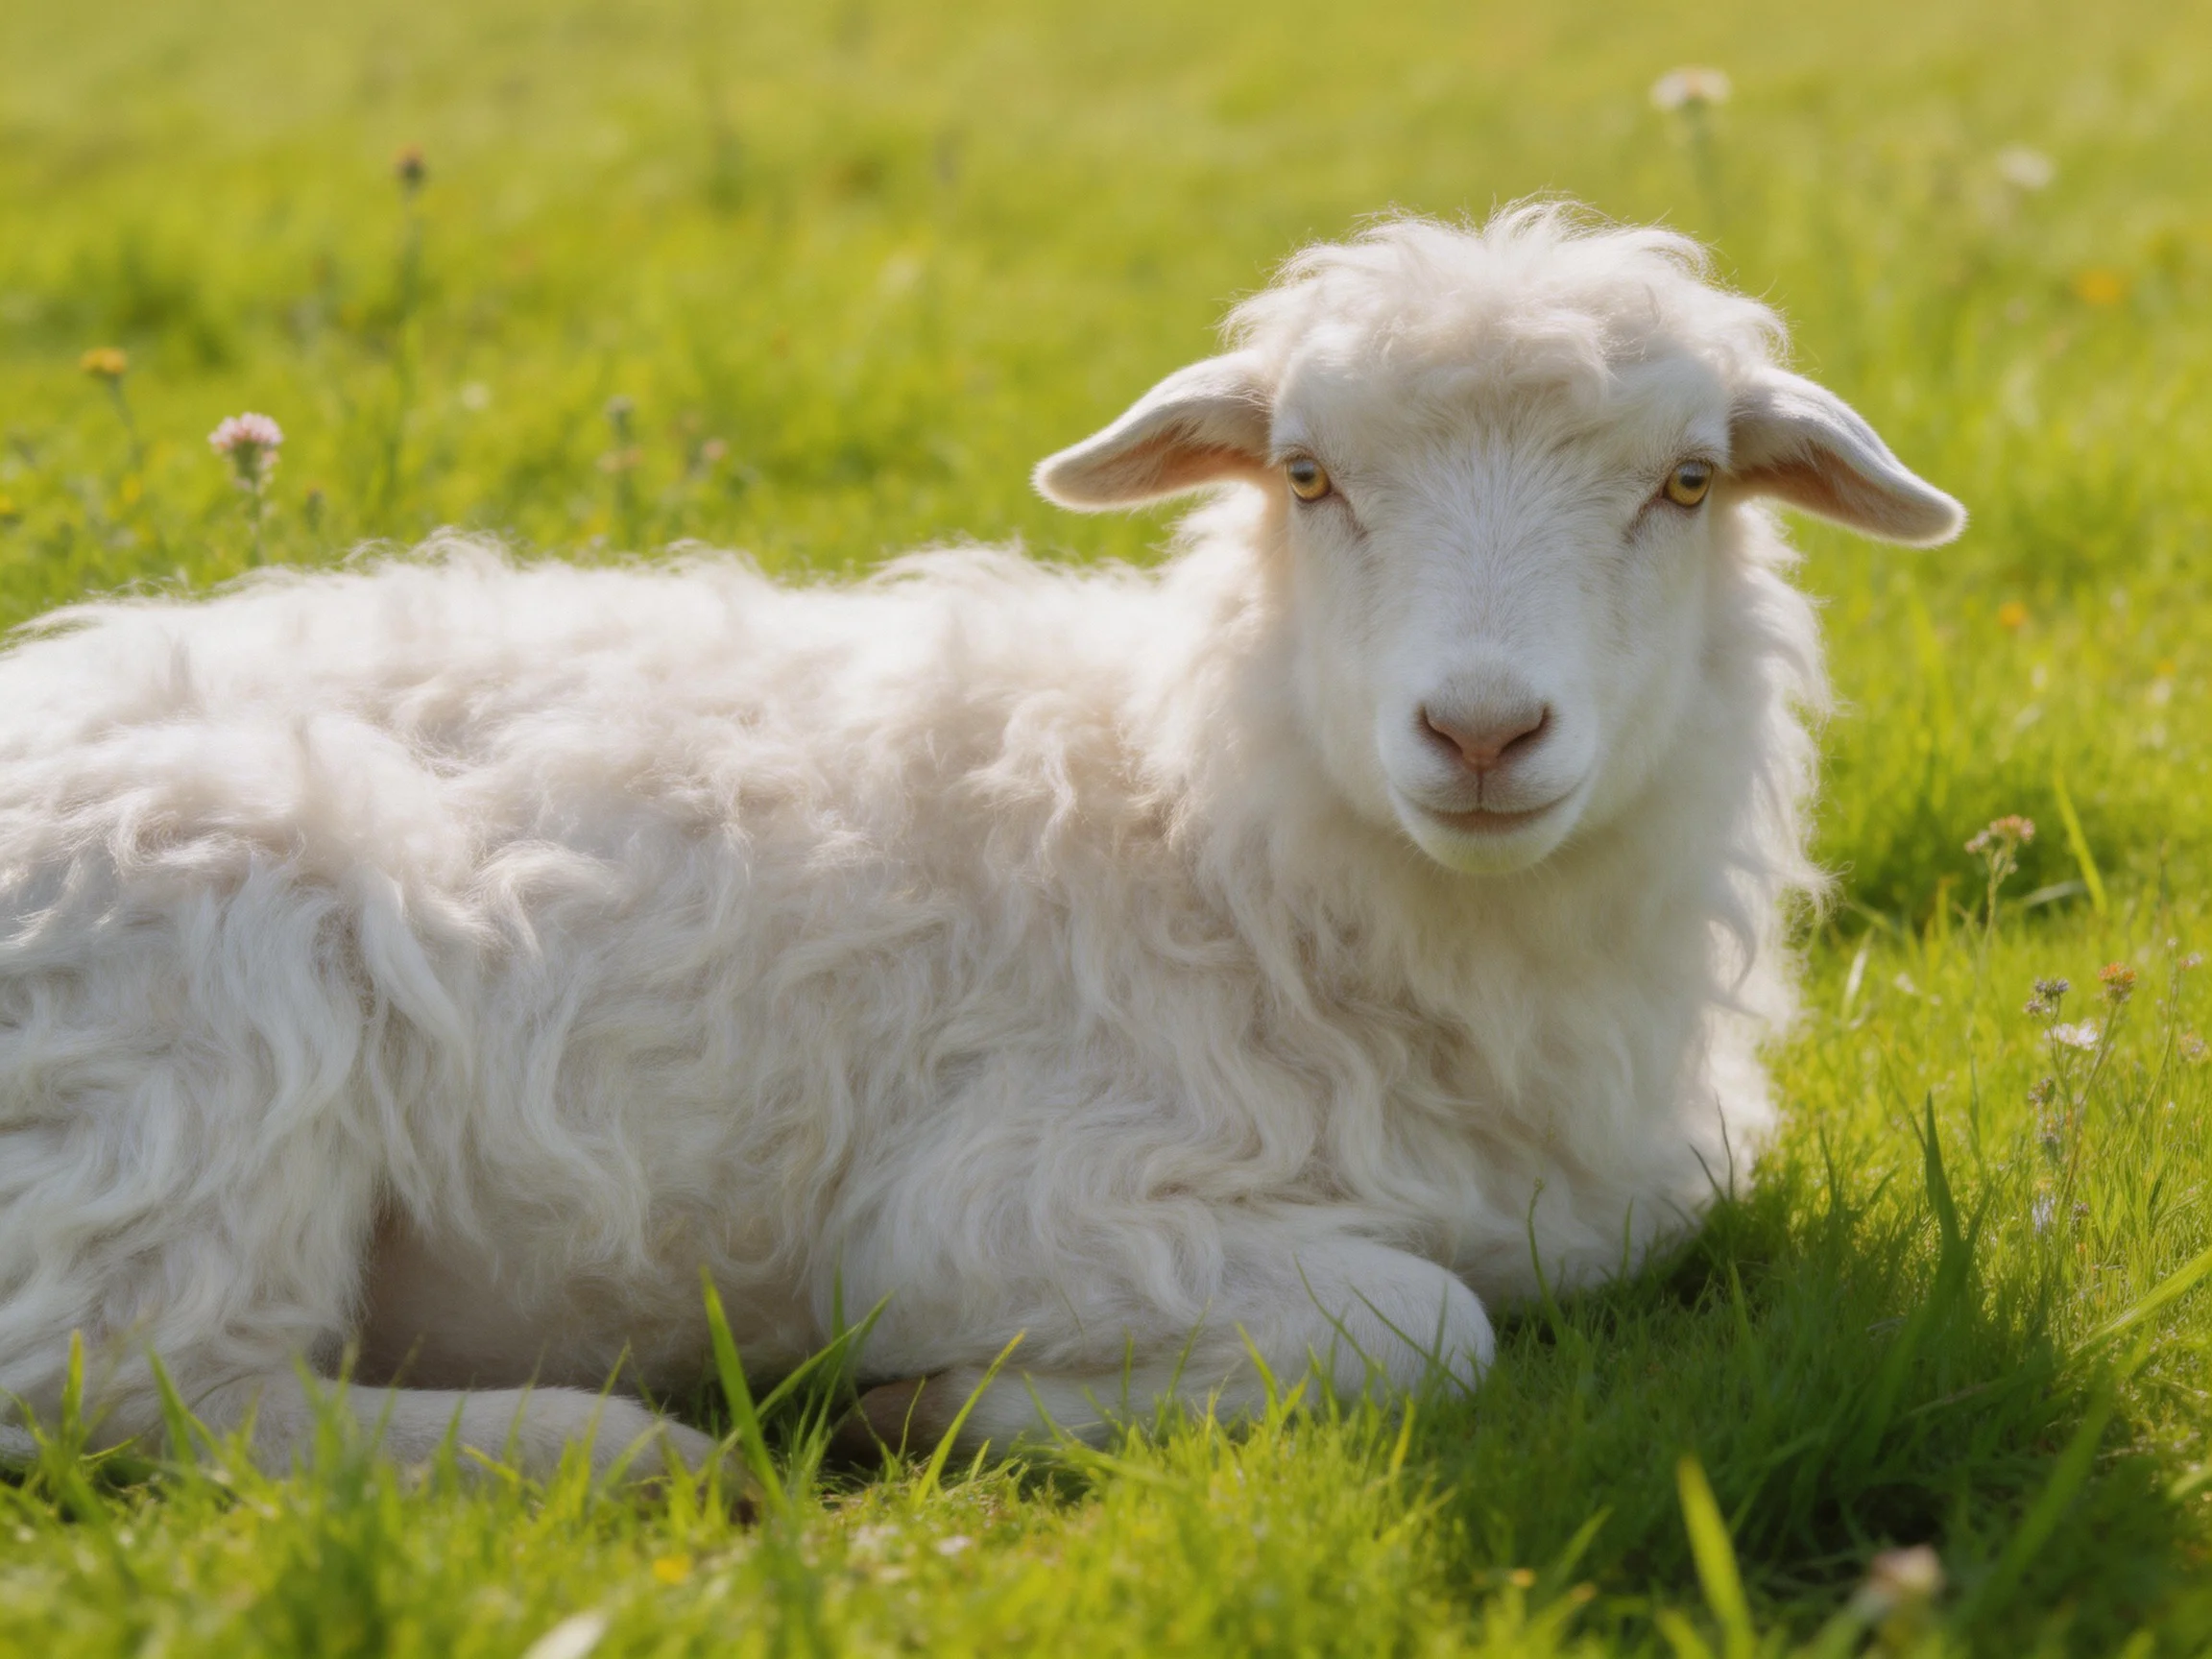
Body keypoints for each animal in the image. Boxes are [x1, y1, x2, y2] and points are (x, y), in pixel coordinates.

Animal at [0, 205, 1963, 1483]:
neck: (1203, 825)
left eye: (1686, 483)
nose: (1480, 733)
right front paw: (927, 1404)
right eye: (1307, 475)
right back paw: (619, 1447)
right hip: (196, 1032)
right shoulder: (1004, 1200)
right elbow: (1431, 1331)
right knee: (136, 1388)